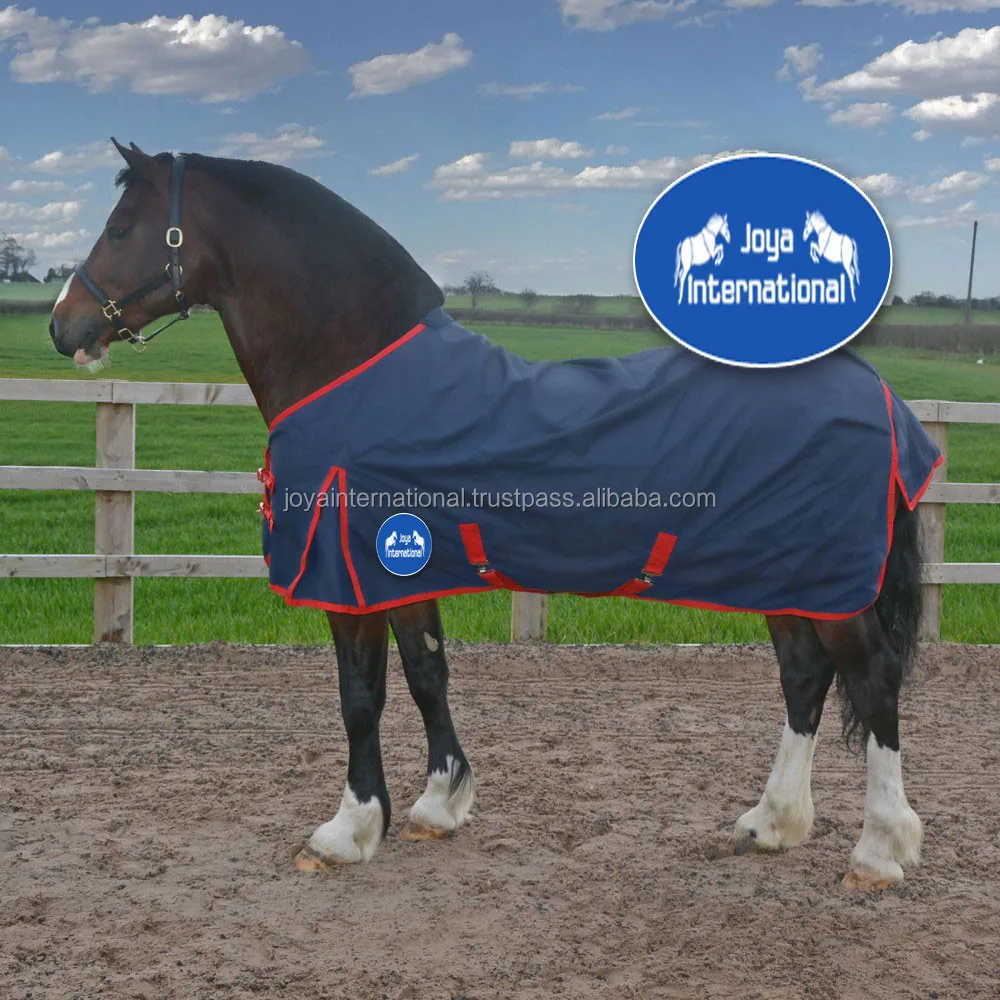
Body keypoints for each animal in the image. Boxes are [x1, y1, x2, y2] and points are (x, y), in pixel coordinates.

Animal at [49, 140, 934, 890]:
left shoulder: (350, 576)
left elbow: (360, 696)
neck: (360, 370)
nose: (63, 325)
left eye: (121, 227)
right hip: (790, 571)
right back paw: (773, 821)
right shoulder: (402, 567)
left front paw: (348, 829)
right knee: (804, 676)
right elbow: (427, 673)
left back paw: (880, 851)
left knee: (873, 681)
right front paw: (440, 803)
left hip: (829, 581)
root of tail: (876, 392)